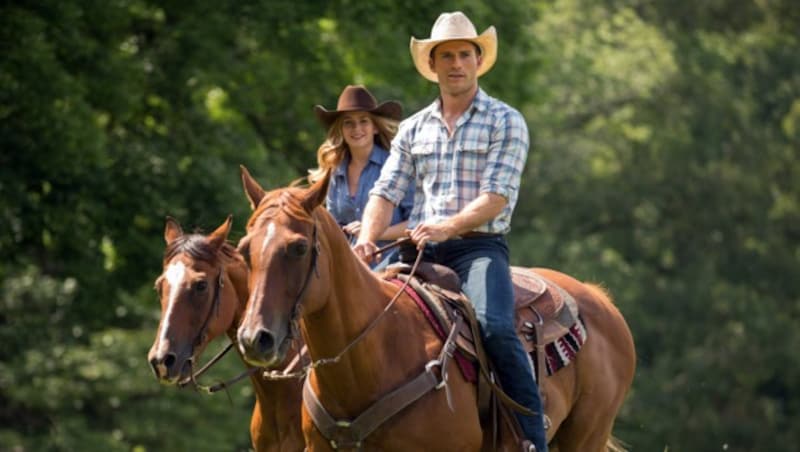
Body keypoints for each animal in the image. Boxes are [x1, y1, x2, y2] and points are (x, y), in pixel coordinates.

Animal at [234, 169, 636, 452]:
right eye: (244, 248)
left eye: (299, 247)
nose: (255, 338)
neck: (371, 357)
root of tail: (599, 299)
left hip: (586, 437)